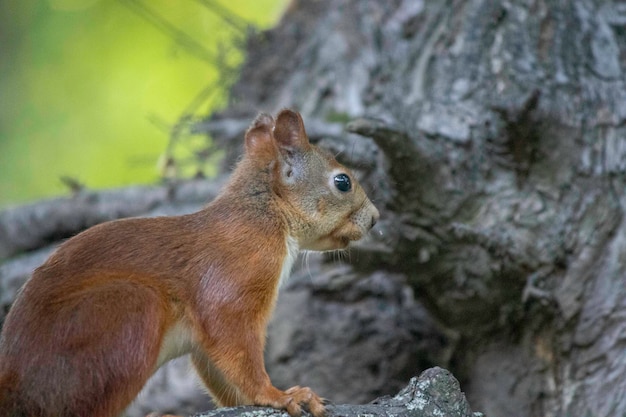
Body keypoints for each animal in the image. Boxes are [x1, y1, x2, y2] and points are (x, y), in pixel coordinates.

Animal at [0, 109, 378, 416]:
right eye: (342, 181)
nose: (375, 218)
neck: (265, 215)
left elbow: (220, 369)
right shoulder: (234, 281)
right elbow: (238, 348)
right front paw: (280, 395)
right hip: (124, 313)